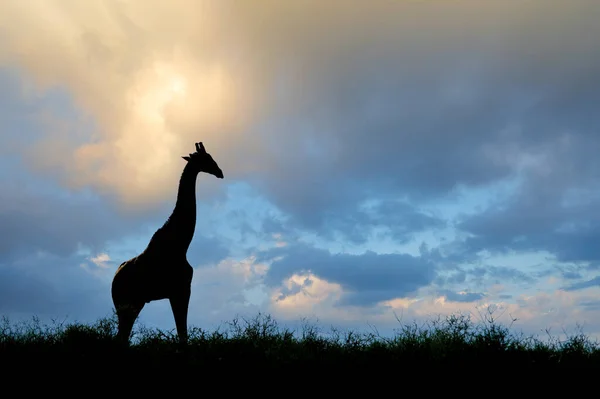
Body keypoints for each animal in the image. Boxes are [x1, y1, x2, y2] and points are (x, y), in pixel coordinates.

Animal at [110, 142, 223, 348]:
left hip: (135, 303)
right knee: (121, 335)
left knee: (123, 335)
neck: (180, 244)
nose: (220, 172)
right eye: (206, 158)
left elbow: (182, 331)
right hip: (126, 302)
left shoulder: (178, 291)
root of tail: (114, 280)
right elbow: (182, 331)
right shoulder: (181, 289)